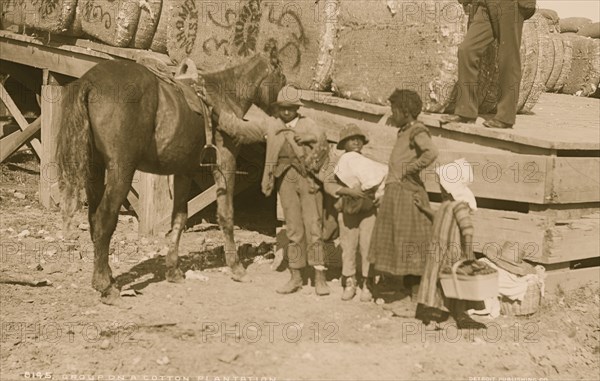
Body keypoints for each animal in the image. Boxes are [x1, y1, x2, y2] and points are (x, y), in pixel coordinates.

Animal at [57, 46, 288, 302]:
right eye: (282, 77)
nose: (283, 115)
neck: (223, 98)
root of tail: (89, 81)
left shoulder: (183, 173)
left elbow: (179, 217)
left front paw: (173, 270)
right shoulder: (225, 164)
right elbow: (226, 214)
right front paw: (236, 267)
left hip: (95, 171)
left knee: (94, 219)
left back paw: (107, 277)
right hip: (121, 172)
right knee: (105, 219)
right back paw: (104, 285)